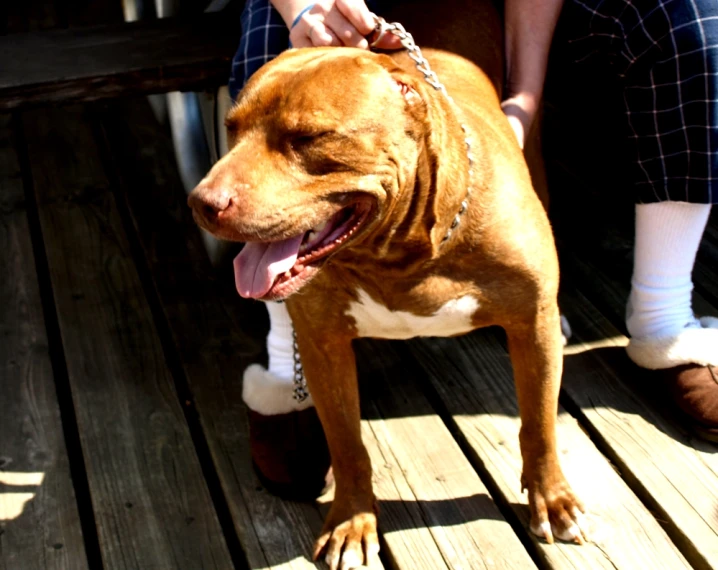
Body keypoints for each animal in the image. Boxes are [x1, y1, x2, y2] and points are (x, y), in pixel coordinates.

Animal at [190, 3, 584, 564]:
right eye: (231, 127)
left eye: (306, 138)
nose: (202, 201)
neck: (400, 254)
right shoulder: (325, 345)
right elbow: (347, 443)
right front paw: (352, 522)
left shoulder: (533, 329)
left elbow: (540, 424)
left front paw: (552, 500)